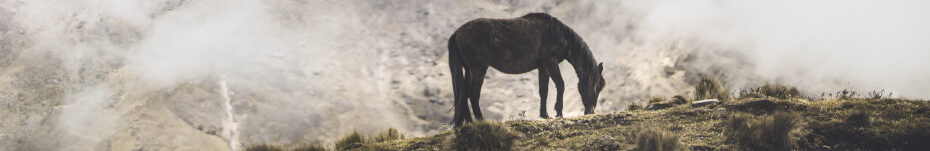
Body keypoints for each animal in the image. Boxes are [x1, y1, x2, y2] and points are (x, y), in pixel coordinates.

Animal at [446, 12, 604, 126]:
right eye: (597, 87)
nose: (591, 111)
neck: (558, 34)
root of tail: (457, 33)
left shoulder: (543, 67)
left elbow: (543, 91)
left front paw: (544, 115)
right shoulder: (550, 62)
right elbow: (560, 84)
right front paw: (558, 112)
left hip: (468, 70)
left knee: (463, 93)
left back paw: (466, 122)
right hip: (478, 69)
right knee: (473, 94)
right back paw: (480, 120)